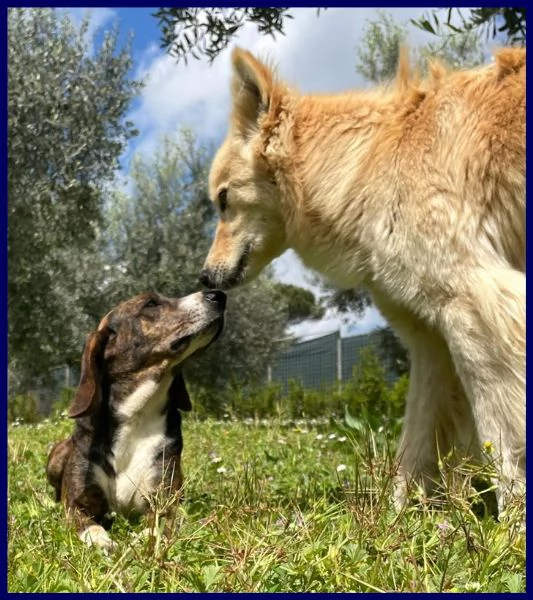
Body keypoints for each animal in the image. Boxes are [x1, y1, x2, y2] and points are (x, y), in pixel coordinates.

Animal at [46, 290, 227, 548]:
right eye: (150, 303)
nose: (218, 294)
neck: (135, 415)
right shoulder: (77, 503)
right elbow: (86, 522)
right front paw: (101, 540)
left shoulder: (165, 499)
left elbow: (159, 524)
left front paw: (142, 541)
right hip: (56, 457)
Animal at [198, 48, 524, 516]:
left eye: (224, 200)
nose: (205, 277)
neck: (372, 158)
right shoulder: (431, 341)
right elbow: (416, 441)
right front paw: (398, 518)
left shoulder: (478, 310)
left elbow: (502, 433)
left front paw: (511, 524)